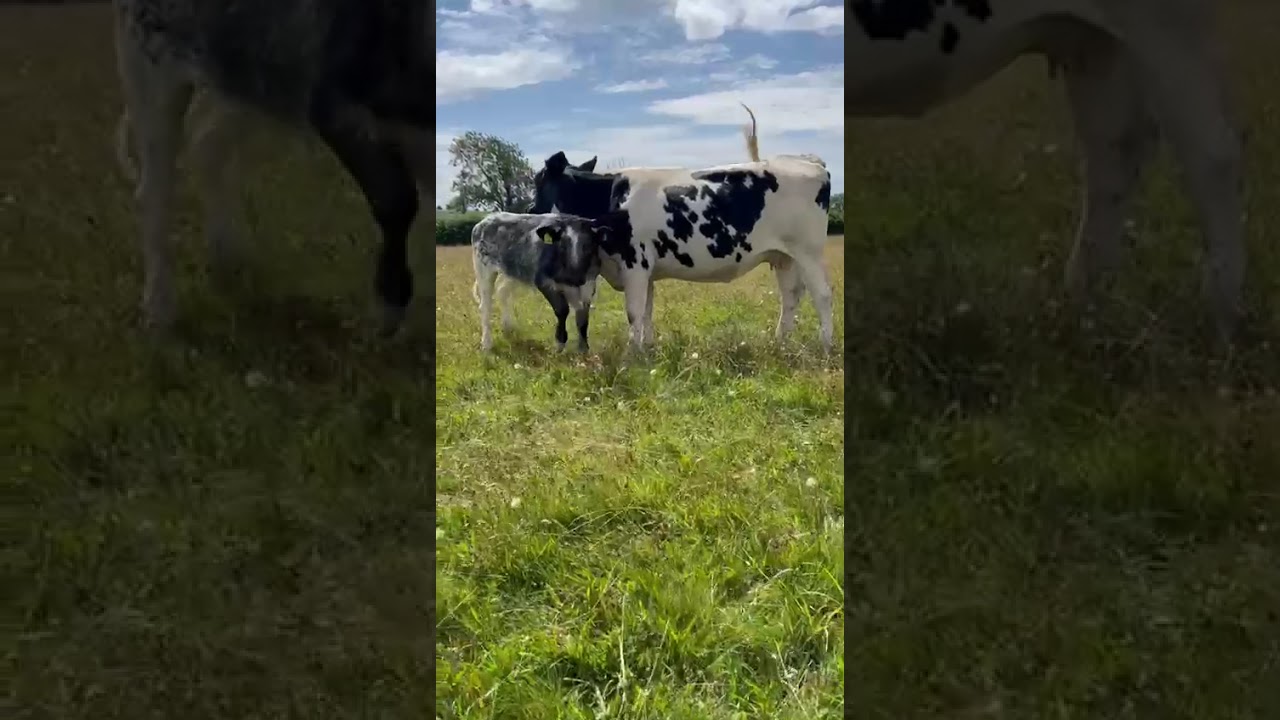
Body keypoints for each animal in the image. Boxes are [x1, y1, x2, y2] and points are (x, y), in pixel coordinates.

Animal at [111, 0, 431, 336]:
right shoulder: (335, 105)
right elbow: (396, 202)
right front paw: (388, 312)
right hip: (149, 63)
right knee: (153, 191)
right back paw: (159, 311)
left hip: (248, 74)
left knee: (207, 143)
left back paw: (229, 256)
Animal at [471, 211, 618, 353]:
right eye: (562, 246)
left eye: (588, 246)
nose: (574, 277)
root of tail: (487, 218)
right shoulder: (544, 282)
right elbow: (562, 310)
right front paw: (560, 343)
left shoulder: (588, 285)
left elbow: (583, 318)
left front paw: (584, 349)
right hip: (483, 269)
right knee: (485, 306)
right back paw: (487, 343)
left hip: (514, 272)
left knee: (502, 291)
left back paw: (508, 327)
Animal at [847, 0, 1247, 342]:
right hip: (1094, 43)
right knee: (1114, 154)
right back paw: (1083, 305)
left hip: (1169, 32)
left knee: (1212, 155)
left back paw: (1221, 316)